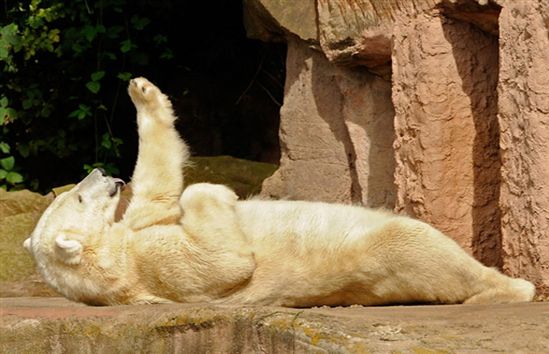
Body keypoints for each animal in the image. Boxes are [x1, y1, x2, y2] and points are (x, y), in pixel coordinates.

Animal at [23, 77, 532, 306]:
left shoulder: (136, 228)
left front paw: (143, 92)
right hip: (388, 260)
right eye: (79, 198)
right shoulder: (151, 269)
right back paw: (513, 285)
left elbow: (159, 184)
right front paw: (222, 193)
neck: (113, 260)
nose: (98, 171)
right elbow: (222, 261)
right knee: (417, 247)